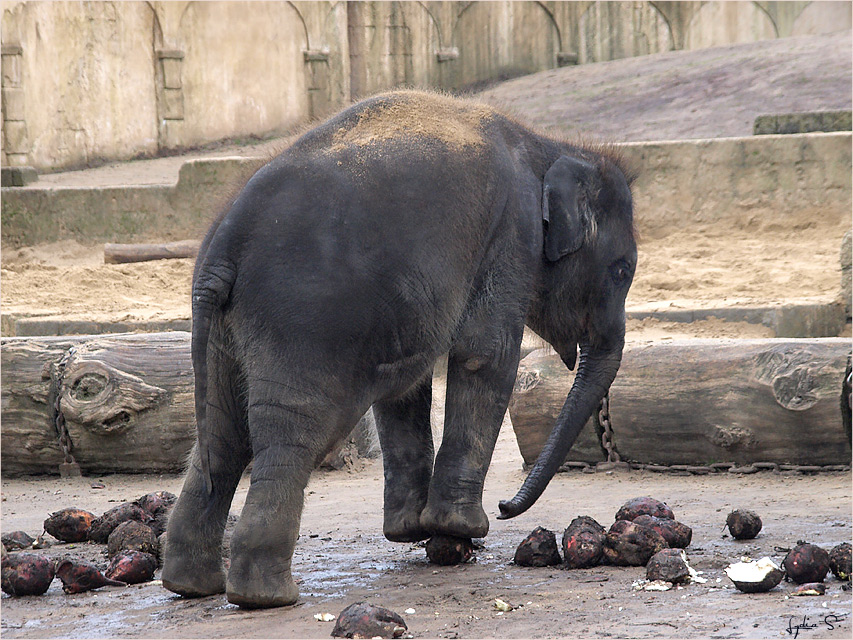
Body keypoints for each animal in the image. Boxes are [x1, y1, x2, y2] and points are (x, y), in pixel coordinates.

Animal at [163, 89, 636, 604]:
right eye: (622, 271)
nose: (505, 506)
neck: (546, 146)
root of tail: (225, 242)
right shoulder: (512, 234)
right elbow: (484, 353)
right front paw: (460, 527)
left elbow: (407, 384)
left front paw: (416, 531)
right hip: (302, 324)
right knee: (289, 434)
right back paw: (268, 596)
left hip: (225, 332)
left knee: (223, 436)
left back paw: (192, 586)